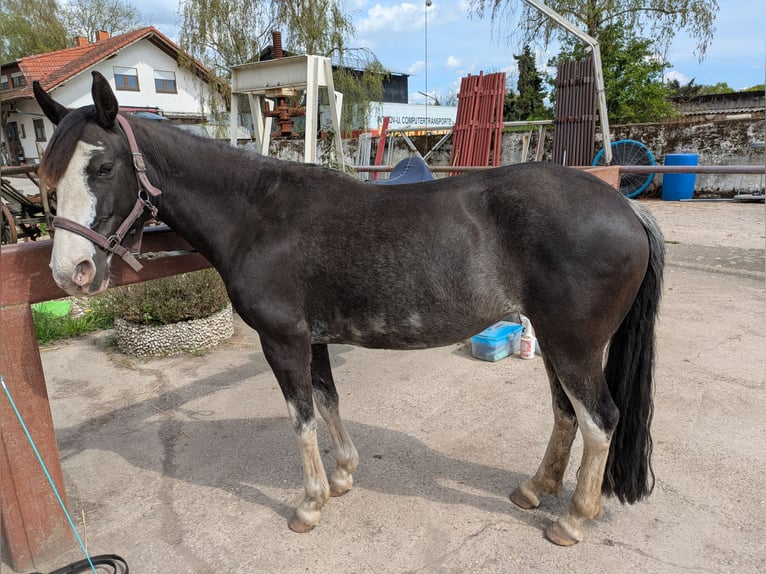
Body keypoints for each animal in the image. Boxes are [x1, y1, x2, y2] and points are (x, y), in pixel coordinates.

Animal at [33, 71, 664, 546]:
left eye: (103, 167)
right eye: (48, 174)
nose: (71, 272)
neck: (258, 216)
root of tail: (626, 209)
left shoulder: (282, 340)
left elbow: (301, 418)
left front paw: (310, 505)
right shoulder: (312, 338)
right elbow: (329, 401)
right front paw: (343, 476)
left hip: (573, 346)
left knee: (600, 420)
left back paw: (574, 519)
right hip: (557, 343)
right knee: (565, 414)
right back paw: (535, 489)